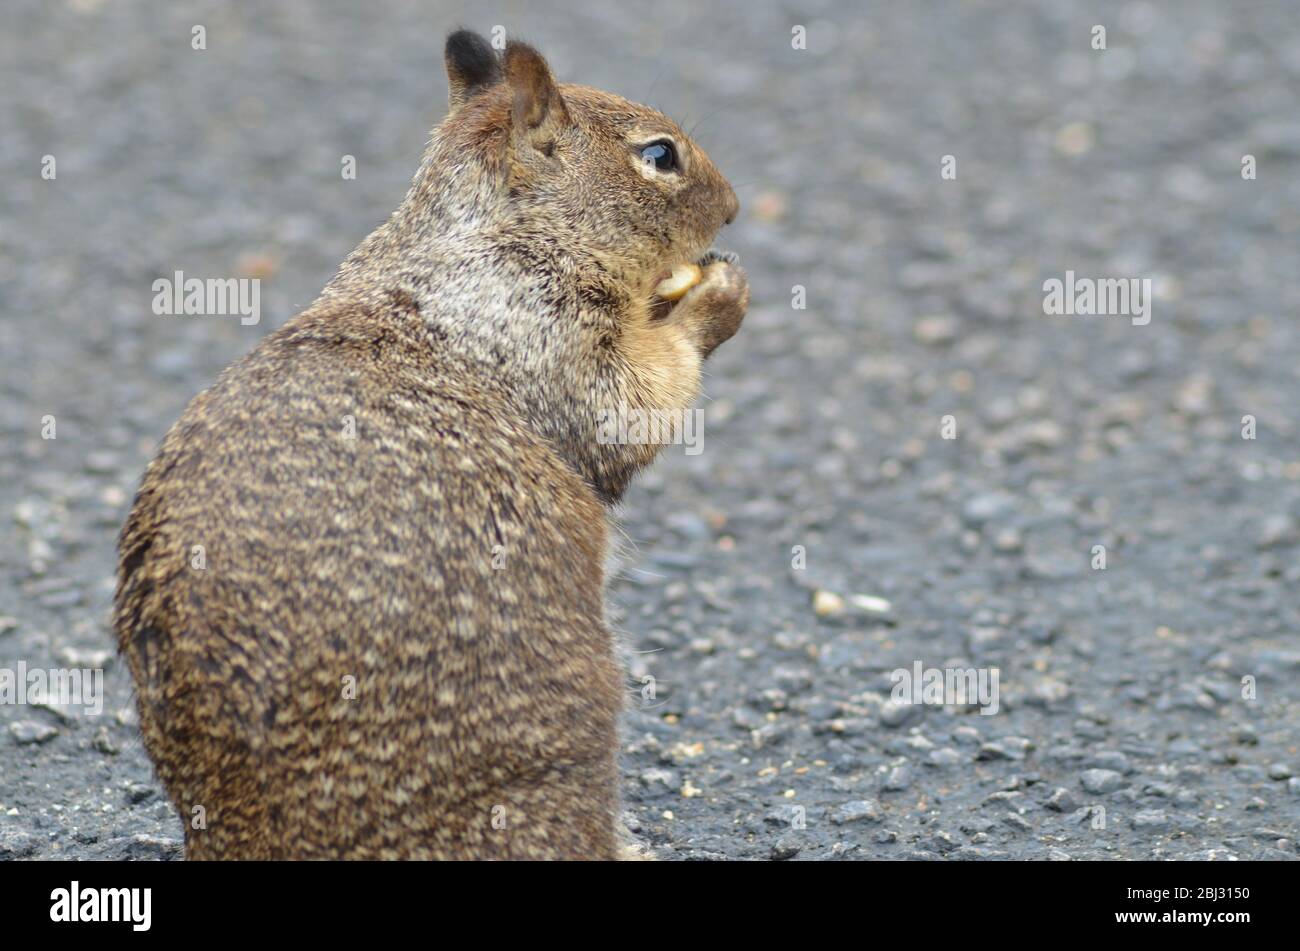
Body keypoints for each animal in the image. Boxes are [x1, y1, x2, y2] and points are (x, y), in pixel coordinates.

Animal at [115, 31, 748, 862]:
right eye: (661, 155)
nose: (735, 209)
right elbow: (631, 404)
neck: (485, 238)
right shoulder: (545, 334)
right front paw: (716, 297)